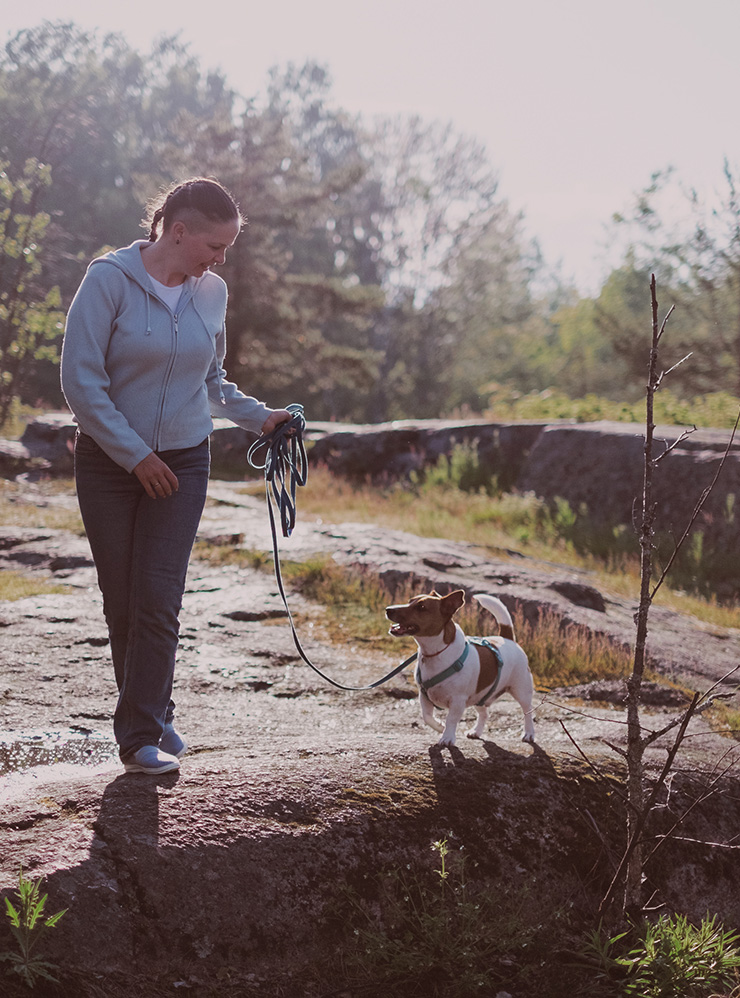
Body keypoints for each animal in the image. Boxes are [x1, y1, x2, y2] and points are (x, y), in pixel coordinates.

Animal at [384, 588, 536, 748]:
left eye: (421, 607)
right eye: (410, 601)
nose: (388, 609)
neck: (436, 652)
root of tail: (507, 639)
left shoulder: (457, 701)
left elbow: (451, 719)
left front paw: (447, 737)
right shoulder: (424, 696)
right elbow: (427, 716)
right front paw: (440, 726)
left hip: (521, 691)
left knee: (528, 712)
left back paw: (529, 733)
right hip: (480, 695)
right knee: (484, 714)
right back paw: (476, 731)